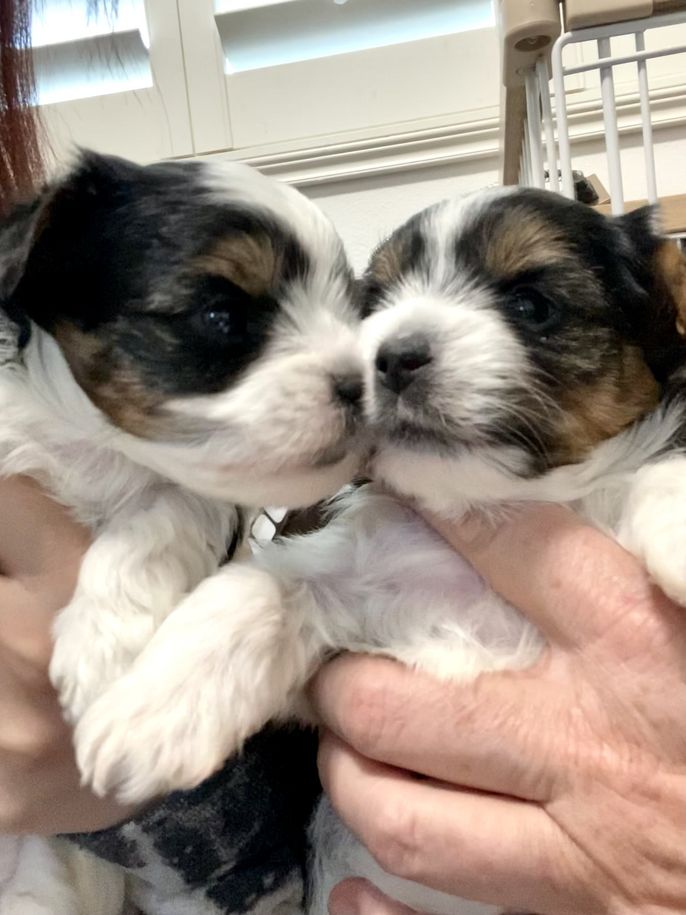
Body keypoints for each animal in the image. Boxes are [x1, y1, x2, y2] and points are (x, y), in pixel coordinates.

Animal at [0, 151, 364, 914]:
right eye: (221, 316)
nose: (360, 384)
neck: (100, 445)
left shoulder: (204, 495)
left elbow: (160, 517)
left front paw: (103, 649)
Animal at [70, 184, 686, 914]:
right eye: (375, 306)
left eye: (532, 304)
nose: (391, 357)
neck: (486, 501)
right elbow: (252, 588)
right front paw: (145, 717)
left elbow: (649, 476)